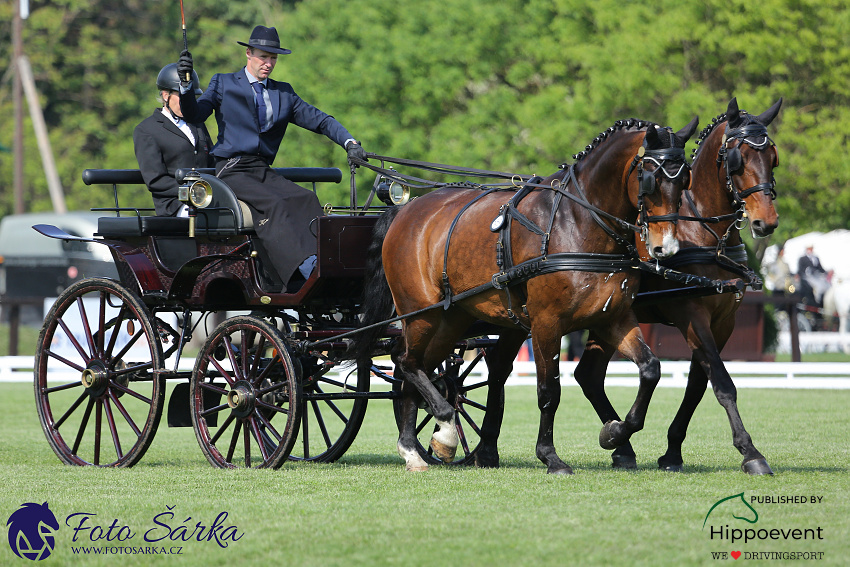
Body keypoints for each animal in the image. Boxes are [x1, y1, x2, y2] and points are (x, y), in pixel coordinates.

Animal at [350, 117, 696, 472]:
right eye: (650, 178)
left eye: (685, 178)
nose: (665, 248)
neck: (577, 222)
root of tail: (404, 211)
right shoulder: (546, 324)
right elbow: (549, 391)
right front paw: (550, 455)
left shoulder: (613, 318)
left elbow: (650, 369)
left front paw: (614, 433)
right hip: (422, 313)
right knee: (406, 361)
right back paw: (434, 433)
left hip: (451, 319)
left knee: (415, 369)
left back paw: (416, 448)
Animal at [572, 97, 780, 474]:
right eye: (737, 158)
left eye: (772, 156)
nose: (766, 222)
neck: (701, 233)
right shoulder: (692, 316)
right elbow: (723, 383)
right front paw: (750, 452)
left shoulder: (722, 323)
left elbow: (698, 385)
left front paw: (672, 451)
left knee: (589, 376)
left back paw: (621, 444)